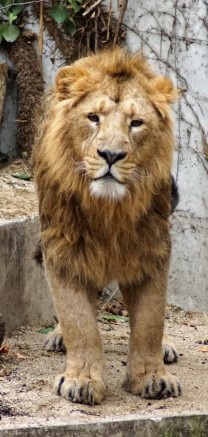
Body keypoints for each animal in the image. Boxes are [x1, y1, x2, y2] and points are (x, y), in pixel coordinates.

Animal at [33, 46, 181, 404]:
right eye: (93, 118)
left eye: (136, 123)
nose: (111, 155)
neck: (109, 211)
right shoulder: (62, 246)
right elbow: (78, 319)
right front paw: (82, 380)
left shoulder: (153, 248)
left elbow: (150, 319)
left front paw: (152, 377)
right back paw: (59, 338)